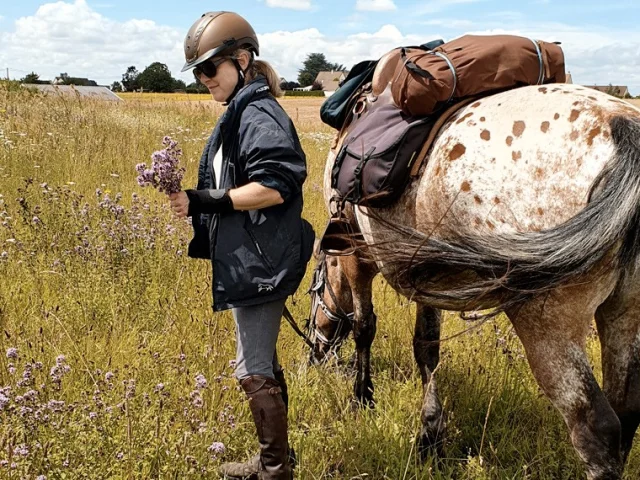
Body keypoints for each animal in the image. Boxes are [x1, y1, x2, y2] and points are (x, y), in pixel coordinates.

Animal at [308, 84, 640, 478]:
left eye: (314, 293)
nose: (314, 356)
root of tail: (624, 130)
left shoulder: (356, 257)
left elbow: (363, 326)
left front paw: (362, 398)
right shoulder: (424, 278)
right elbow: (426, 346)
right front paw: (430, 437)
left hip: (548, 327)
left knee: (596, 428)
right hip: (624, 315)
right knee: (628, 410)